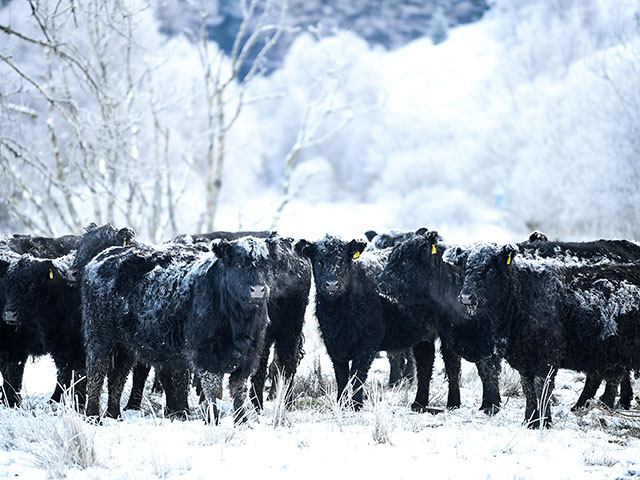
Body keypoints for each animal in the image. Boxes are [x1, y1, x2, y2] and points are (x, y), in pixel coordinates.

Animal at [82, 237, 270, 424]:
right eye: (238, 264)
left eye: (264, 264)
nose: (258, 289)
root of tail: (103, 257)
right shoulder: (206, 355)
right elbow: (212, 390)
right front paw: (213, 421)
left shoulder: (249, 356)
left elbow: (239, 391)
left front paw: (242, 422)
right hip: (100, 338)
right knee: (96, 374)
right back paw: (93, 416)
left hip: (125, 346)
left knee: (117, 378)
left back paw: (114, 416)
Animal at [298, 235, 462, 412]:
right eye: (319, 261)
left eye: (342, 260)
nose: (331, 284)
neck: (339, 314)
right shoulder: (333, 344)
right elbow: (341, 377)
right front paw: (341, 404)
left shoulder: (368, 342)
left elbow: (357, 374)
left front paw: (356, 405)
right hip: (424, 334)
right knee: (425, 364)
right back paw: (418, 404)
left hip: (449, 330)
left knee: (451, 364)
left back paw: (453, 403)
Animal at [378, 232, 502, 412]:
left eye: (408, 259)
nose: (381, 283)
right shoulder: (426, 335)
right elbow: (425, 367)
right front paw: (419, 403)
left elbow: (459, 367)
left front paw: (457, 403)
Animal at [448, 244, 640, 428]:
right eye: (465, 268)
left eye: (490, 269)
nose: (466, 296)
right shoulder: (525, 359)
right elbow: (528, 389)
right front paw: (529, 421)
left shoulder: (546, 358)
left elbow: (543, 389)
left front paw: (544, 422)